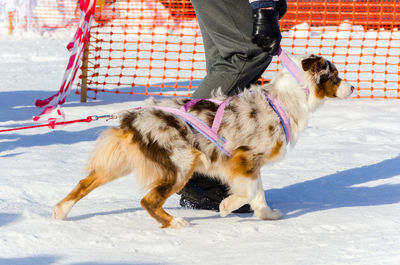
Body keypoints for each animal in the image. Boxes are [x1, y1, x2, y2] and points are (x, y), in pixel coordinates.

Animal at [52, 53, 354, 227]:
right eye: (335, 76)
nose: (353, 87)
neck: (286, 100)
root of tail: (132, 118)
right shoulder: (244, 158)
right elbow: (250, 191)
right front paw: (226, 206)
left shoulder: (250, 163)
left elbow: (259, 193)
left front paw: (266, 215)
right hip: (182, 163)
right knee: (148, 200)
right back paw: (175, 223)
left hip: (121, 163)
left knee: (84, 183)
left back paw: (60, 212)